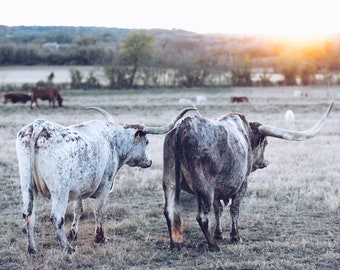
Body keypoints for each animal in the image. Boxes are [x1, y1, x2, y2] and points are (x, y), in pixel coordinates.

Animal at [162, 101, 332, 251]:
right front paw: (235, 236)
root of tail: (187, 123)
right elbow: (234, 209)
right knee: (202, 217)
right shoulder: (242, 184)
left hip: (170, 183)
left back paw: (174, 244)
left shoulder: (217, 188)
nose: (265, 162)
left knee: (169, 211)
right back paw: (213, 246)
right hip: (204, 189)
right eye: (266, 143)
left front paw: (219, 234)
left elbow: (218, 209)